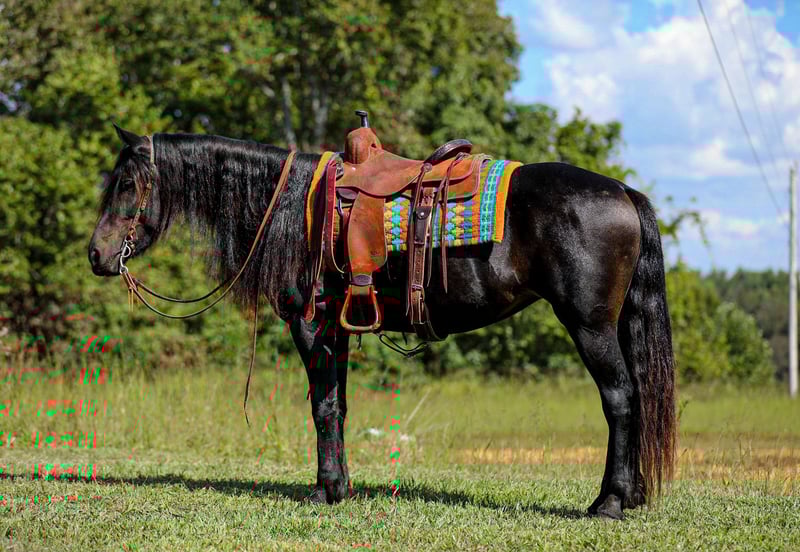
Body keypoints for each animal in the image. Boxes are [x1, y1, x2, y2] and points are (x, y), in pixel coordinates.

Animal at [88, 125, 676, 520]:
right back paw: (630, 495)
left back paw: (608, 501)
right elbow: (339, 406)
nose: (96, 254)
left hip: (590, 325)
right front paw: (341, 485)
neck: (292, 206)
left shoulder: (312, 324)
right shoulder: (338, 330)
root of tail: (622, 191)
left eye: (126, 184)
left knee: (621, 399)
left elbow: (323, 407)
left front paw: (325, 490)